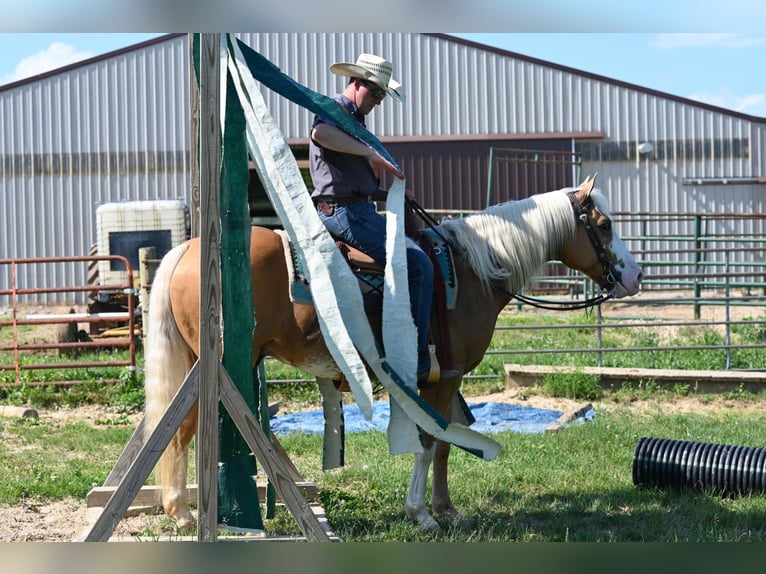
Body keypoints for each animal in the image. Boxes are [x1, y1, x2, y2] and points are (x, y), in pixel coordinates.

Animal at [142, 177, 640, 536]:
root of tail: (190, 249)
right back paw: (182, 513)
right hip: (215, 367)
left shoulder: (446, 381)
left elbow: (444, 443)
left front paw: (447, 510)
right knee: (183, 431)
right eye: (604, 224)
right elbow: (428, 442)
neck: (472, 270)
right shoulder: (445, 377)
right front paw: (422, 514)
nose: (635, 276)